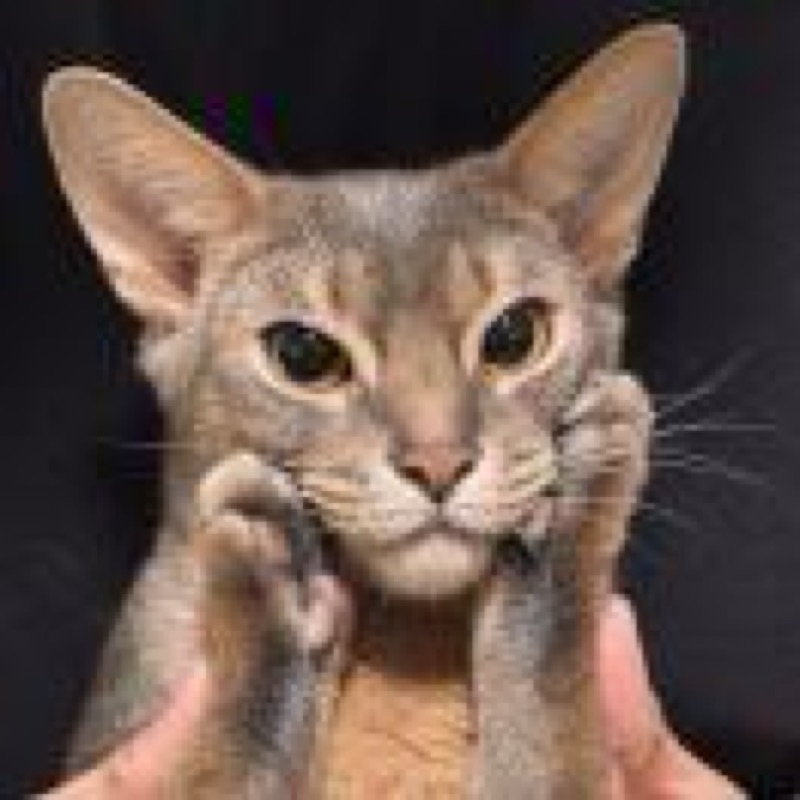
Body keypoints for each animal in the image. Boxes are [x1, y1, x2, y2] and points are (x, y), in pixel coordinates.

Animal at [42, 23, 685, 799]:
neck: (401, 656)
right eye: (302, 355)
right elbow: (230, 760)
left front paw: (566, 522)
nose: (439, 464)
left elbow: (546, 719)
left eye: (513, 336)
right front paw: (273, 593)